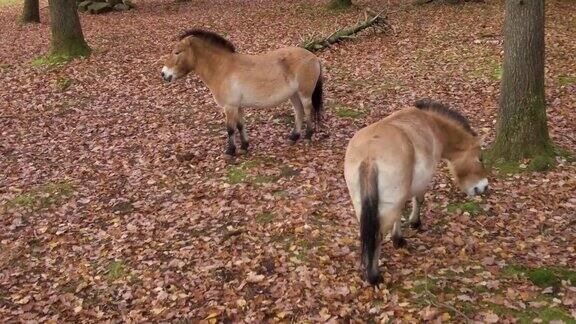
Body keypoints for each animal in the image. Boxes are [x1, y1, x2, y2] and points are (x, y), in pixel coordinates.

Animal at [162, 29, 324, 161]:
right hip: (294, 95)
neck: (222, 68)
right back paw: (293, 137)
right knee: (298, 112)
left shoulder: (230, 107)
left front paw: (230, 152)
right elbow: (240, 125)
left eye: (177, 52)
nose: (163, 74)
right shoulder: (237, 106)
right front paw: (245, 146)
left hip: (304, 94)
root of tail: (313, 57)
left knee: (308, 110)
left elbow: (230, 129)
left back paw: (308, 136)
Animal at [344, 99, 488, 286]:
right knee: (377, 235)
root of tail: (370, 156)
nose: (484, 187)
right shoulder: (422, 180)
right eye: (480, 159)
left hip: (361, 203)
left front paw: (398, 238)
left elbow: (400, 213)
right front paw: (415, 223)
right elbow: (418, 200)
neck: (431, 124)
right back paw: (374, 276)